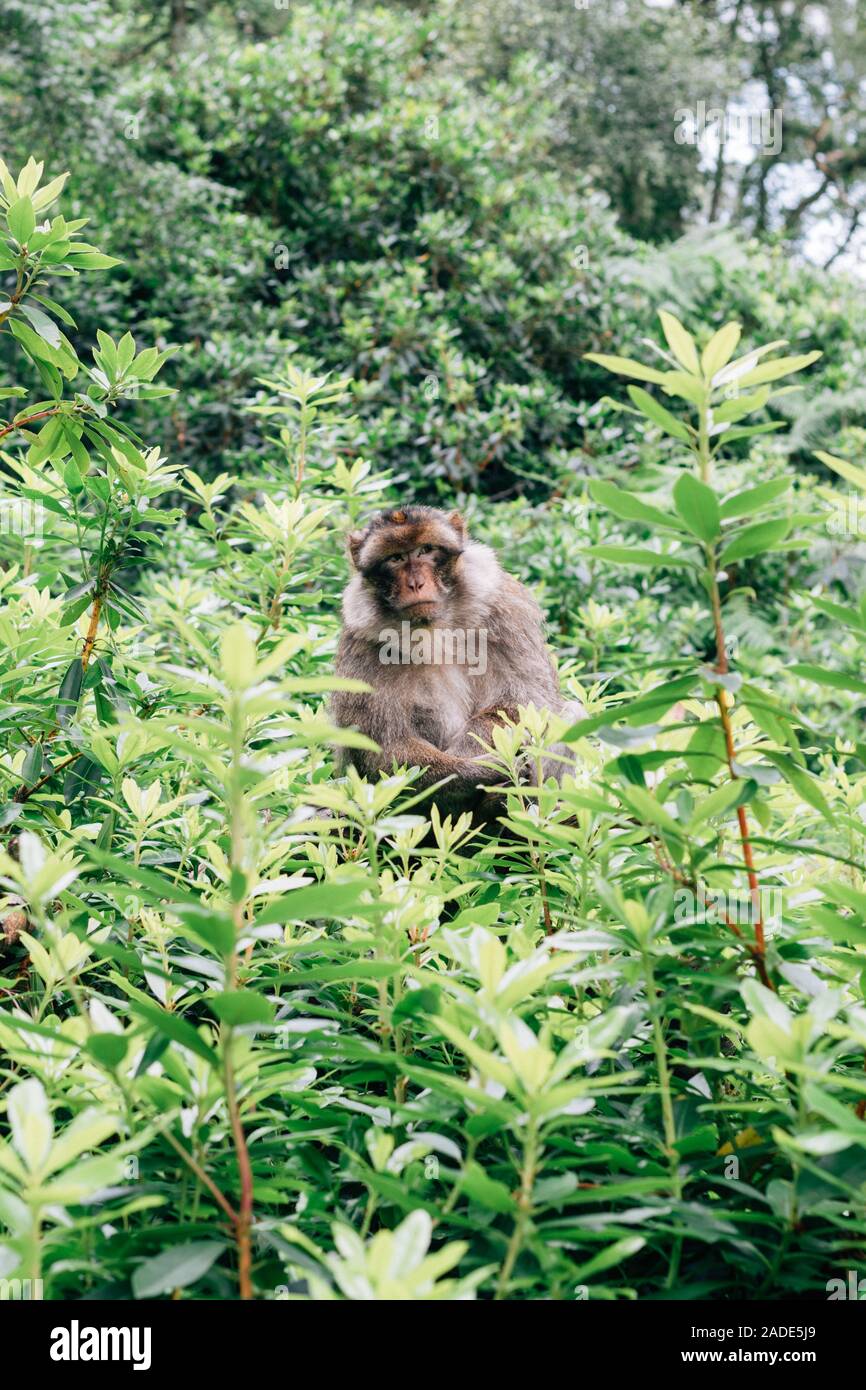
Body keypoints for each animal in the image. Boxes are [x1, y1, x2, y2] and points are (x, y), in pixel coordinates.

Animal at [330, 505, 582, 822]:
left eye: (426, 550)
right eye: (396, 558)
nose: (416, 583)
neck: (434, 629)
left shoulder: (507, 610)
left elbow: (522, 702)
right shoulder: (361, 646)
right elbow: (386, 749)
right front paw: (480, 769)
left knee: (571, 714)